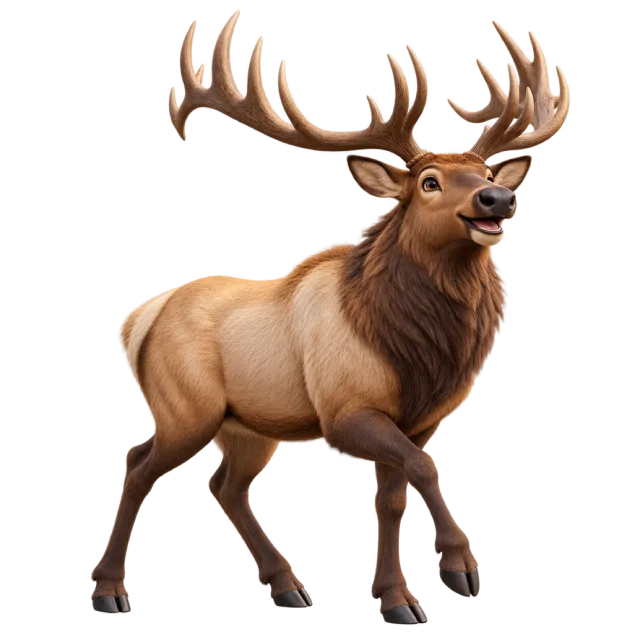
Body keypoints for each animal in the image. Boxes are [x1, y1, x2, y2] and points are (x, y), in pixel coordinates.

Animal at [91, 10, 571, 623]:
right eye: (428, 182)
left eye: (486, 171)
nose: (497, 200)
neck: (421, 356)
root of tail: (140, 317)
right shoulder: (346, 409)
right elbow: (423, 471)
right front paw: (460, 566)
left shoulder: (420, 421)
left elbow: (392, 498)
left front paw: (397, 600)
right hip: (186, 410)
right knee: (137, 464)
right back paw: (109, 590)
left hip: (248, 428)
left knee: (225, 486)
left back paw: (288, 587)